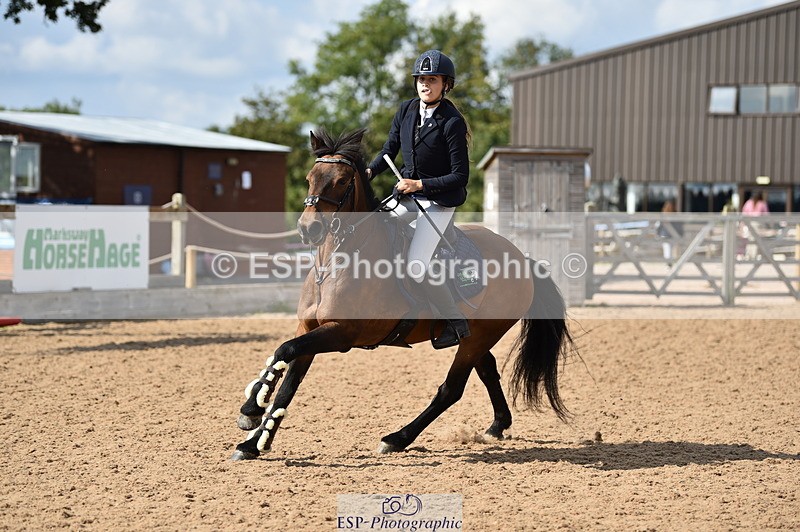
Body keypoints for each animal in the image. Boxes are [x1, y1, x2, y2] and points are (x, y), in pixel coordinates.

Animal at [230, 128, 575, 460]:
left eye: (341, 181)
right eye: (310, 177)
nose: (308, 229)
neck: (335, 262)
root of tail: (522, 259)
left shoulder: (342, 332)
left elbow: (284, 351)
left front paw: (253, 411)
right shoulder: (309, 328)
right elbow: (287, 378)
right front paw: (254, 437)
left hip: (480, 336)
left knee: (451, 389)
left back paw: (396, 439)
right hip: (476, 336)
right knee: (487, 370)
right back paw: (497, 425)